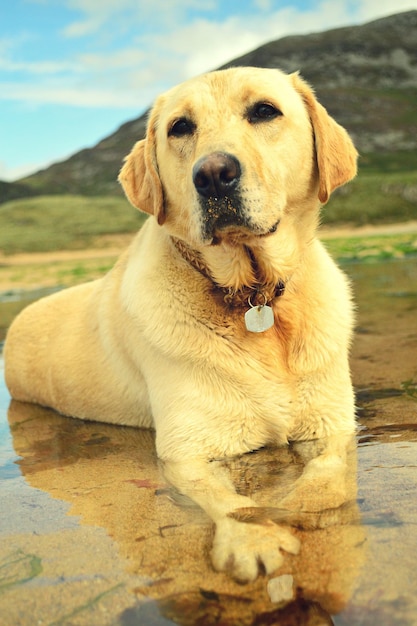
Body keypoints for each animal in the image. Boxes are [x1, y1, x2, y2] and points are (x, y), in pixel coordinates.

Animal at [4, 67, 358, 580]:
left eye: (265, 111)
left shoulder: (335, 426)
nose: (213, 175)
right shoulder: (189, 447)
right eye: (180, 127)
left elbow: (328, 475)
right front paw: (253, 537)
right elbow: (222, 497)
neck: (253, 296)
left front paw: (304, 508)